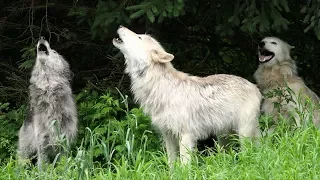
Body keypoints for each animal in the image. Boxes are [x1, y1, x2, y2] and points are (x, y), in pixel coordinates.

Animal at [17, 37, 78, 169]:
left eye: (54, 52)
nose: (42, 37)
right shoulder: (42, 147)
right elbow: (43, 167)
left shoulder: (64, 145)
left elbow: (63, 165)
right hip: (26, 152)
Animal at [112, 26, 262, 165]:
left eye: (139, 37)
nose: (120, 26)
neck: (161, 88)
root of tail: (255, 87)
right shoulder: (168, 136)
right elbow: (172, 163)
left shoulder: (186, 135)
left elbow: (184, 165)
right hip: (224, 137)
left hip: (243, 134)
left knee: (250, 152)